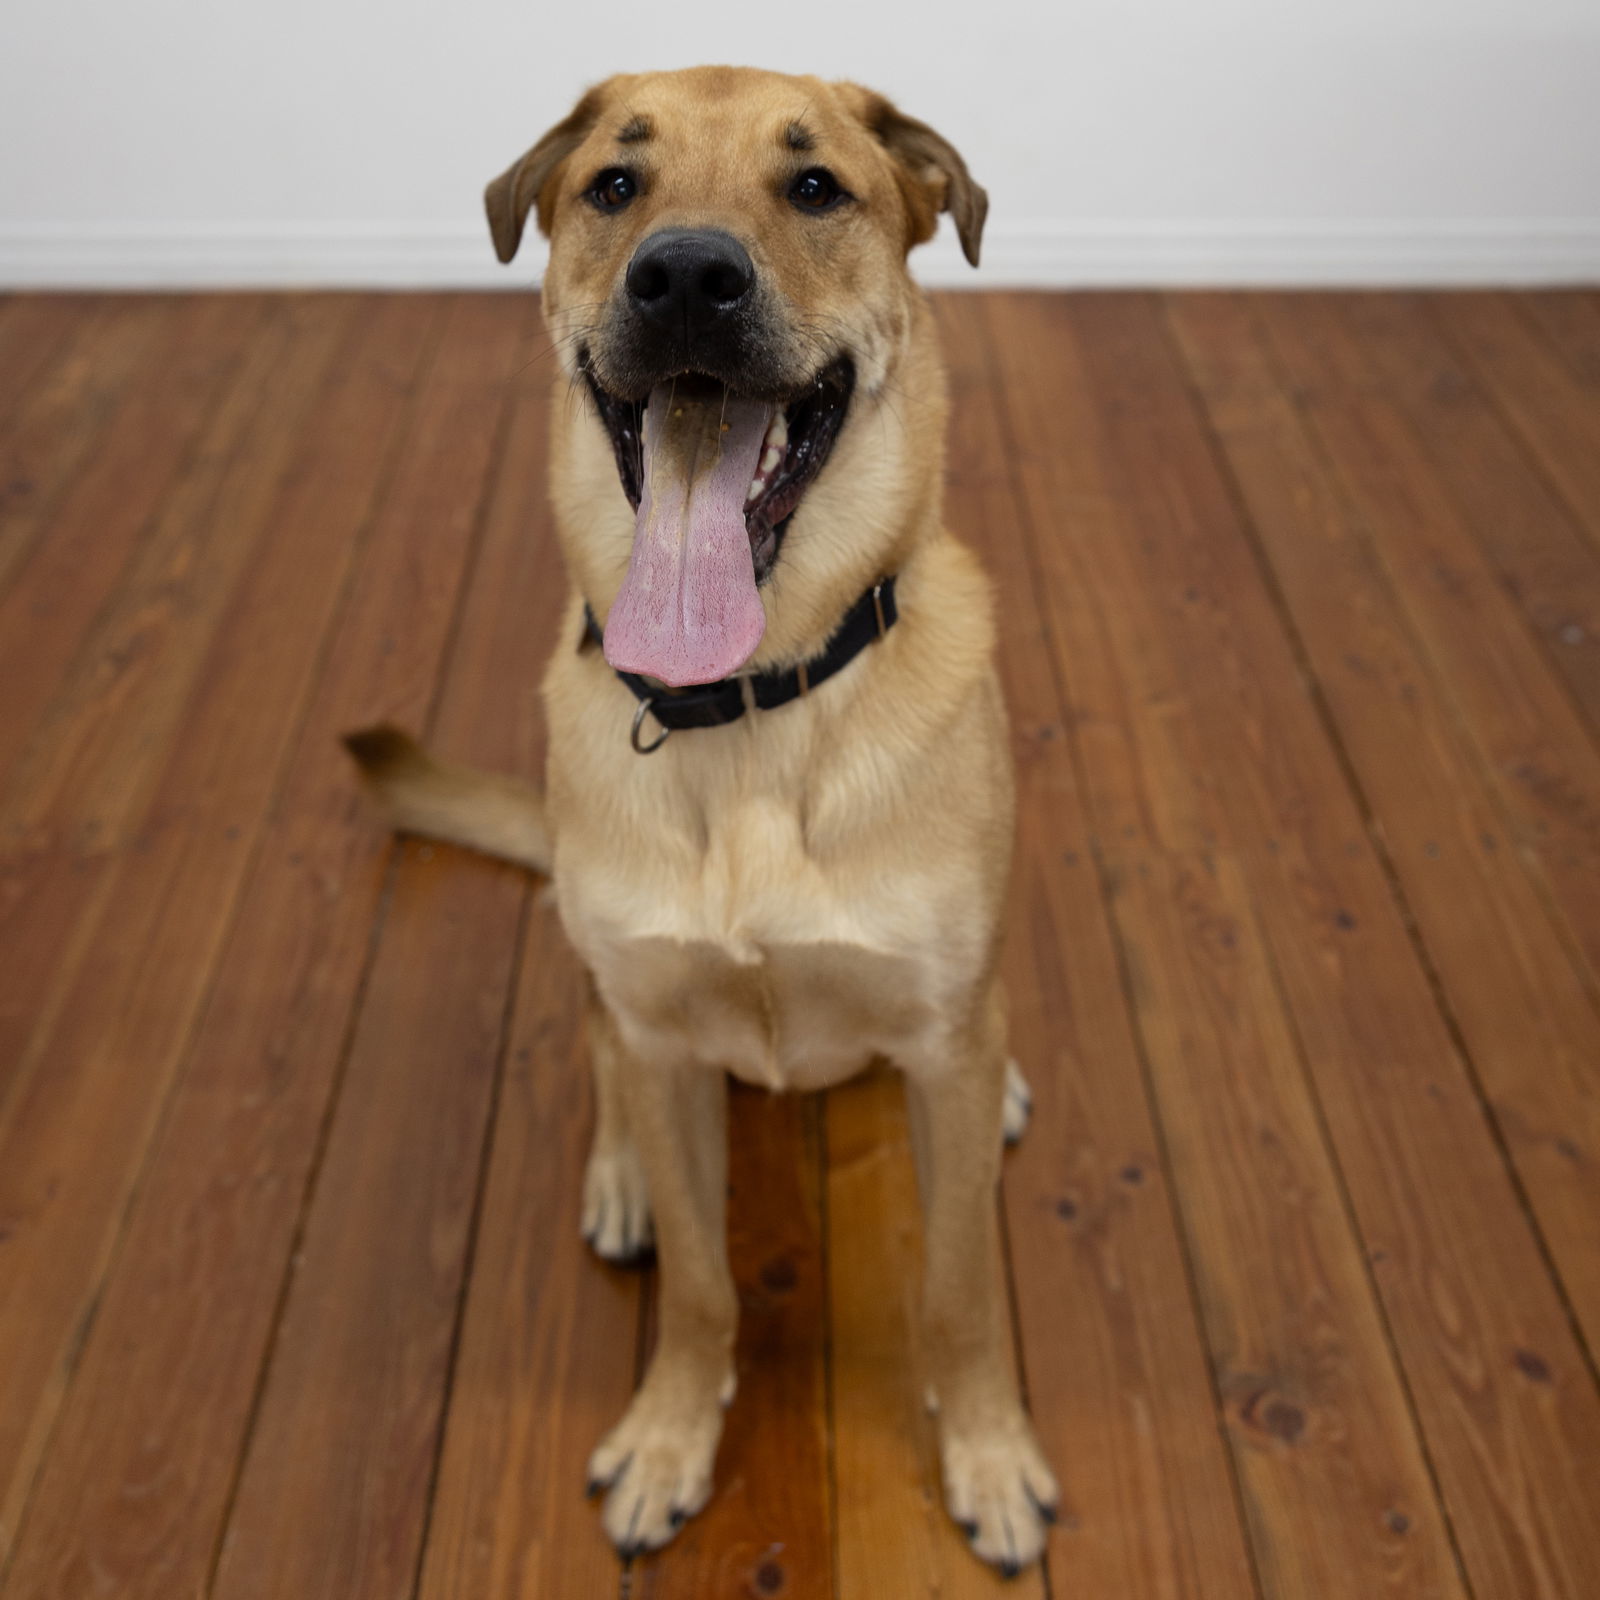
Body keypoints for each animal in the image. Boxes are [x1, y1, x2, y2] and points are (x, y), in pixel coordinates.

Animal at [344, 65, 1056, 1574]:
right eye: (615, 186)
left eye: (816, 187)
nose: (683, 278)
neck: (749, 714)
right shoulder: (668, 1043)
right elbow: (701, 1288)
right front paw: (673, 1435)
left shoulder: (942, 1046)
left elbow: (961, 1292)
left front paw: (988, 1453)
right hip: (614, 987)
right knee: (602, 1044)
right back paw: (615, 1178)